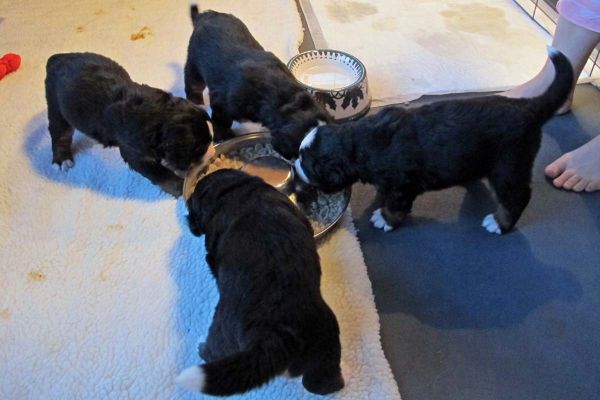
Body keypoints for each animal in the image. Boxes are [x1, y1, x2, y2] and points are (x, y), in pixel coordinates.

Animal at [47, 53, 216, 197]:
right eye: (199, 149)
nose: (210, 156)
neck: (158, 117)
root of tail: (56, 58)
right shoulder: (135, 153)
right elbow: (161, 175)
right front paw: (180, 186)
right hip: (57, 108)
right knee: (60, 135)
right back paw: (62, 160)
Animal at [175, 168, 342, 394]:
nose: (189, 221)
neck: (235, 188)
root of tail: (281, 334)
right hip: (326, 345)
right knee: (321, 383)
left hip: (223, 332)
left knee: (215, 351)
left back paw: (202, 347)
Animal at [185, 4, 330, 159]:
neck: (285, 98)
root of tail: (205, 15)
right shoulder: (222, 105)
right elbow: (221, 122)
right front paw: (224, 137)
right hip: (194, 63)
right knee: (193, 86)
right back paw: (197, 103)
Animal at [298, 47, 576, 234]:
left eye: (309, 165)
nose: (296, 167)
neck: (361, 144)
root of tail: (527, 107)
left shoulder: (404, 184)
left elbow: (397, 205)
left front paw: (384, 219)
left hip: (509, 166)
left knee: (517, 195)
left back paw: (499, 223)